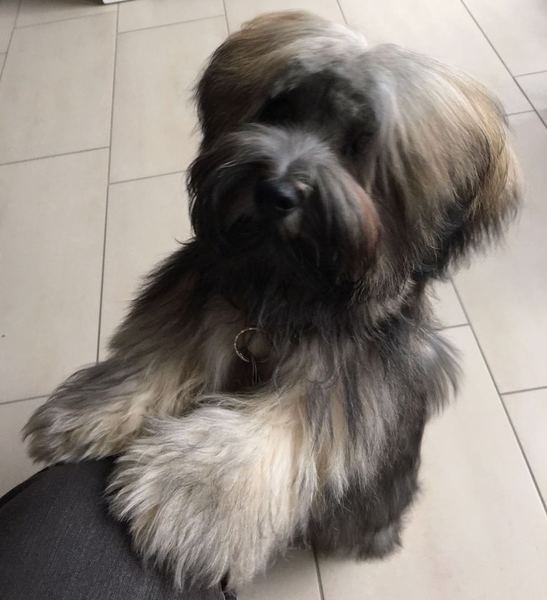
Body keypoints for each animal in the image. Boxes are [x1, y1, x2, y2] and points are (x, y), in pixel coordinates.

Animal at [24, 11, 520, 593]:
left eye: (359, 144)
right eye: (279, 109)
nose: (277, 191)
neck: (282, 285)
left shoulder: (357, 377)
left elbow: (288, 422)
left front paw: (188, 497)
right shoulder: (203, 304)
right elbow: (160, 355)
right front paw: (90, 409)